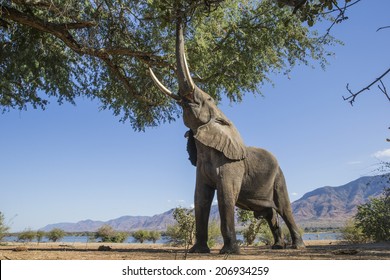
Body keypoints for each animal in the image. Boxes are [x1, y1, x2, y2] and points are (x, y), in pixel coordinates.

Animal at [149, 17, 304, 254]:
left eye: (209, 99)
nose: (180, 17)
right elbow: (200, 198)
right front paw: (198, 252)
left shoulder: (231, 164)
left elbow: (224, 196)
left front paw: (229, 252)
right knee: (270, 213)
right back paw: (278, 247)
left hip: (280, 177)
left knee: (284, 208)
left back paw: (297, 247)